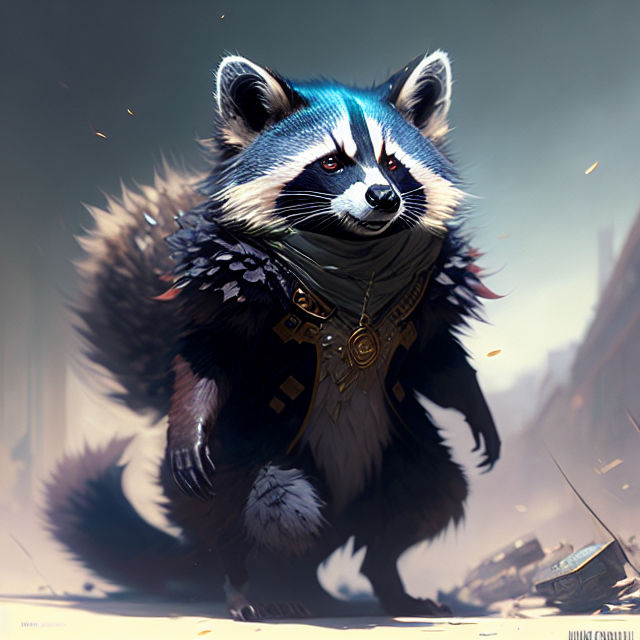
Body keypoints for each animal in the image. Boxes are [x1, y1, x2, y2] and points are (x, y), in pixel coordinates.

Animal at [46, 51, 500, 620]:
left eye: (395, 164)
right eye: (331, 163)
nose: (383, 197)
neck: (355, 257)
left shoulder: (429, 287)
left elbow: (435, 360)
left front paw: (477, 406)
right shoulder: (231, 282)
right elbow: (210, 355)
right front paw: (189, 422)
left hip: (401, 446)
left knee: (425, 492)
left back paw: (376, 579)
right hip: (249, 454)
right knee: (264, 505)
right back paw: (246, 580)